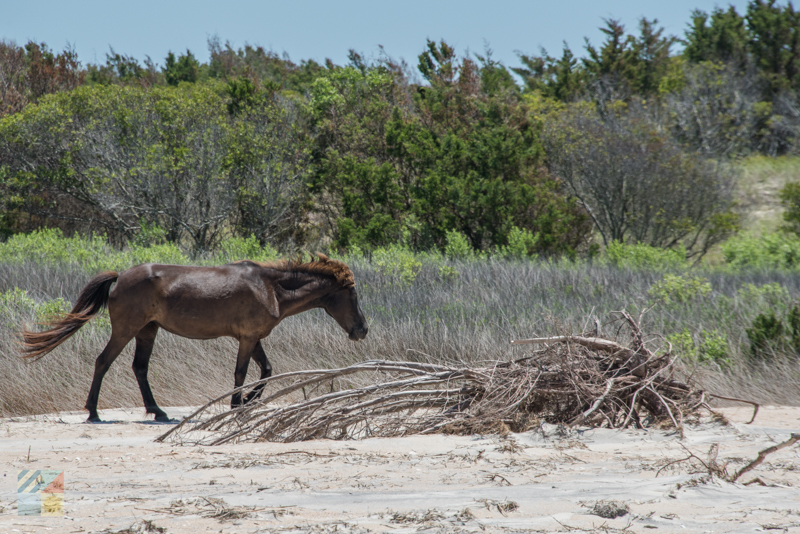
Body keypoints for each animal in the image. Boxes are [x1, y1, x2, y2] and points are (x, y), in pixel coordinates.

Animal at [19, 255, 368, 422]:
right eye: (351, 294)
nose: (362, 329)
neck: (271, 287)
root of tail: (120, 277)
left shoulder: (253, 337)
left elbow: (267, 370)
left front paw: (249, 400)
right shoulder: (247, 338)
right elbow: (241, 373)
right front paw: (238, 403)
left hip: (148, 330)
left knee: (140, 368)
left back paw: (157, 411)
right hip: (126, 329)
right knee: (103, 361)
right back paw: (93, 411)